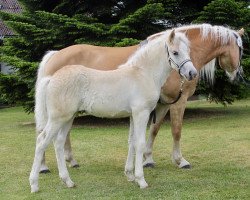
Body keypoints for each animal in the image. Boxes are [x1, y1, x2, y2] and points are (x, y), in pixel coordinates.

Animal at [29, 29, 197, 192]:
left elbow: (132, 142)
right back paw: (34, 184)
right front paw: (141, 180)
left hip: (68, 118)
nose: (192, 73)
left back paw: (68, 181)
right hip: (58, 118)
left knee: (58, 142)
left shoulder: (133, 115)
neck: (142, 74)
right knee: (42, 141)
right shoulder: (141, 113)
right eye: (175, 52)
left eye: (188, 50)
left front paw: (130, 175)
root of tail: (51, 78)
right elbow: (140, 143)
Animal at [37, 23, 244, 173]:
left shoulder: (162, 104)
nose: (239, 76)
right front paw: (180, 161)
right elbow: (176, 130)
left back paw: (71, 161)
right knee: (44, 133)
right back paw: (43, 167)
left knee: (62, 134)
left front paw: (148, 159)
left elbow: (154, 130)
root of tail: (55, 54)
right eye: (241, 49)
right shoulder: (178, 101)